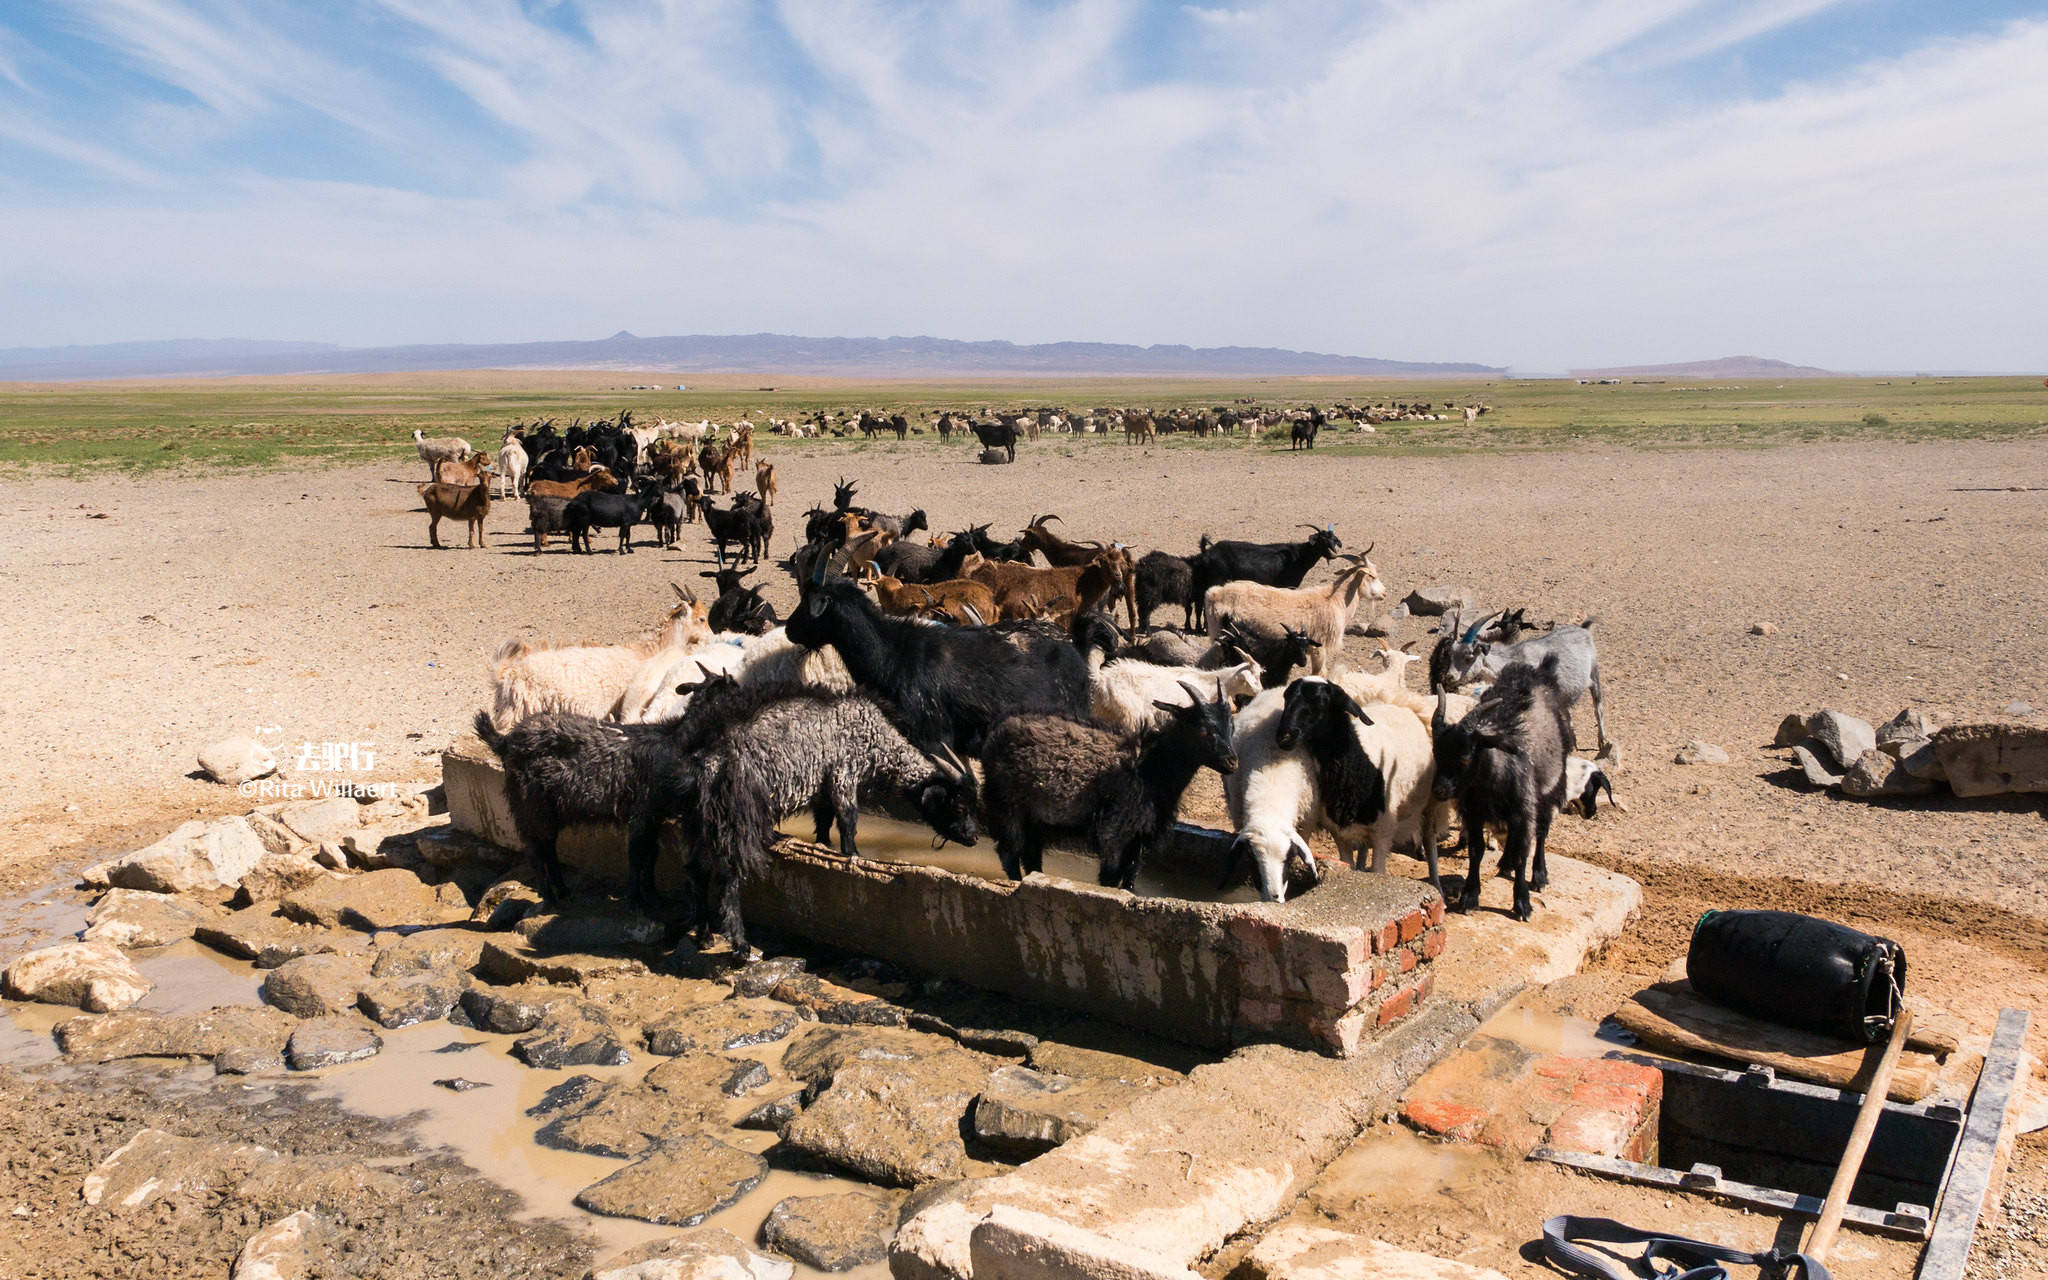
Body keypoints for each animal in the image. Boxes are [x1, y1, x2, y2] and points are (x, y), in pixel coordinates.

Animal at [983, 679, 1236, 888]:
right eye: (1203, 729)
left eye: (1231, 727)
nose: (1232, 762)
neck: (1150, 769)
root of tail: (996, 731)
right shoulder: (1114, 832)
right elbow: (1110, 879)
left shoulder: (1139, 839)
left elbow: (1129, 881)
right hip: (1007, 806)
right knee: (1009, 852)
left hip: (1035, 817)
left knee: (1030, 854)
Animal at [1187, 524, 1343, 630]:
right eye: (1321, 541)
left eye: (1333, 540)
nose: (1333, 555)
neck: (1298, 557)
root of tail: (1207, 553)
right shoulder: (1288, 585)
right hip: (1216, 579)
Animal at [1433, 659, 1572, 917]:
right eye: (1436, 752)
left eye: (1466, 756)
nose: (1439, 790)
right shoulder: (1474, 813)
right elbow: (1476, 850)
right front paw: (1470, 896)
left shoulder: (1524, 811)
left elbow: (1523, 854)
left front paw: (1522, 903)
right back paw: (1505, 863)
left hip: (1551, 788)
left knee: (1542, 832)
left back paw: (1539, 876)